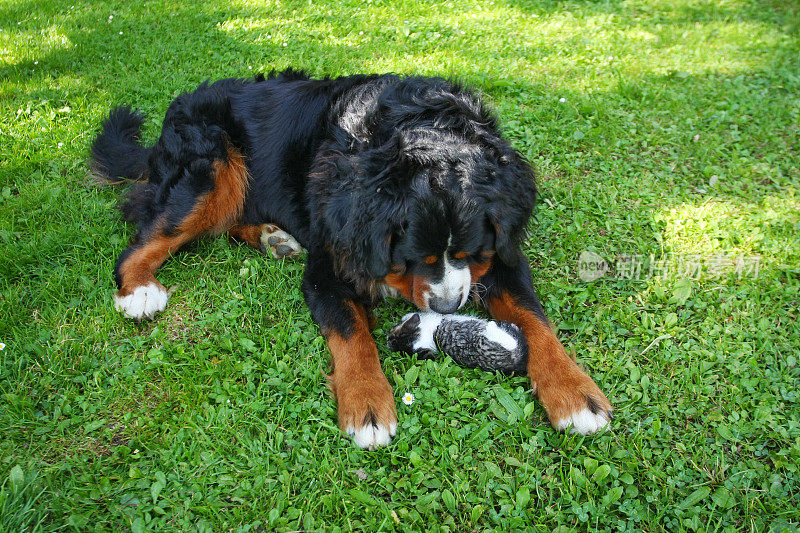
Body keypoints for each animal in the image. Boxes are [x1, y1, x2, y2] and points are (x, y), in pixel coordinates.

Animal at [89, 67, 612, 448]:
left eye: (472, 253)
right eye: (414, 258)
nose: (447, 309)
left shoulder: (501, 255)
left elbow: (535, 320)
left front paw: (574, 392)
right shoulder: (328, 267)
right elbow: (351, 333)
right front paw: (367, 404)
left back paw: (272, 237)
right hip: (210, 166)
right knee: (149, 236)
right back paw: (138, 290)